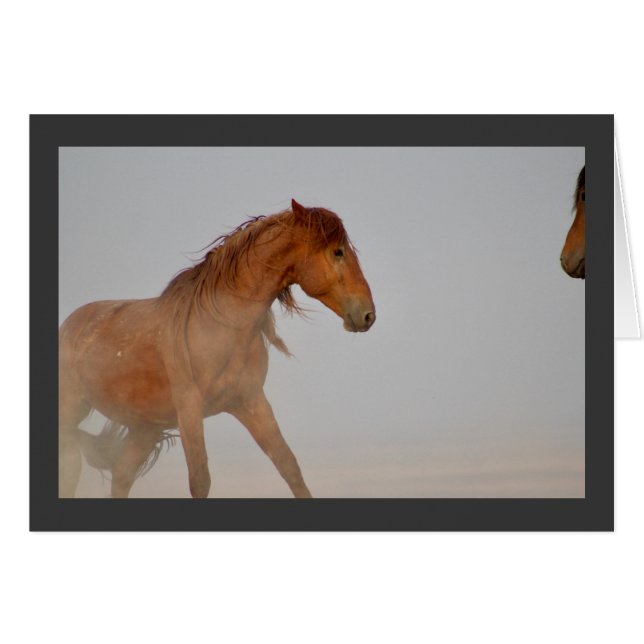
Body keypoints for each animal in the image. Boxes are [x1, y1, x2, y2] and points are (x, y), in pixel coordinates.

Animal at [59, 199, 376, 499]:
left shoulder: (251, 401)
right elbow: (200, 481)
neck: (220, 328)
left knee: (121, 477)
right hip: (72, 418)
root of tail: (70, 326)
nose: (368, 315)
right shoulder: (189, 409)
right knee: (72, 468)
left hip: (145, 428)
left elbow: (289, 467)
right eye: (338, 252)